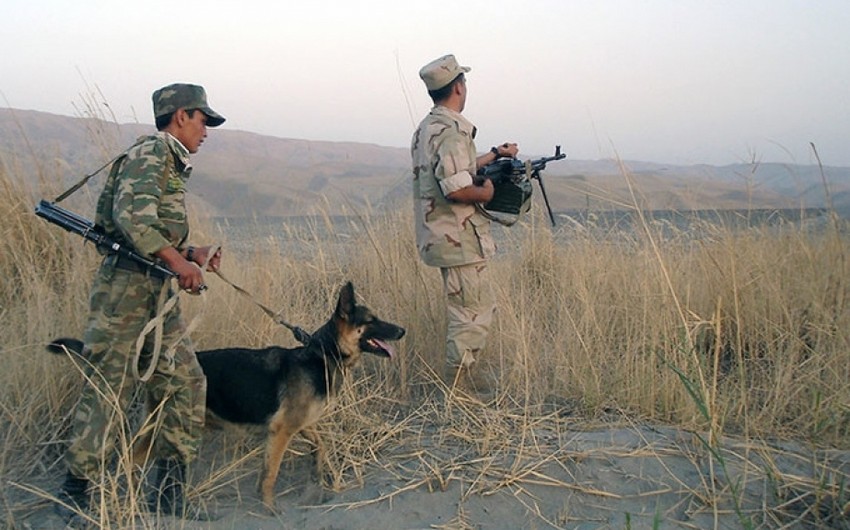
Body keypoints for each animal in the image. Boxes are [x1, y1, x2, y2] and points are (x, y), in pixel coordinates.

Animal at [48, 280, 406, 508]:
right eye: (372, 321)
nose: (402, 330)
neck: (321, 353)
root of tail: (156, 364)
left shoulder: (300, 424)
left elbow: (321, 444)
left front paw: (319, 472)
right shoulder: (282, 431)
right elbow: (270, 474)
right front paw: (269, 509)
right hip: (161, 427)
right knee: (127, 458)